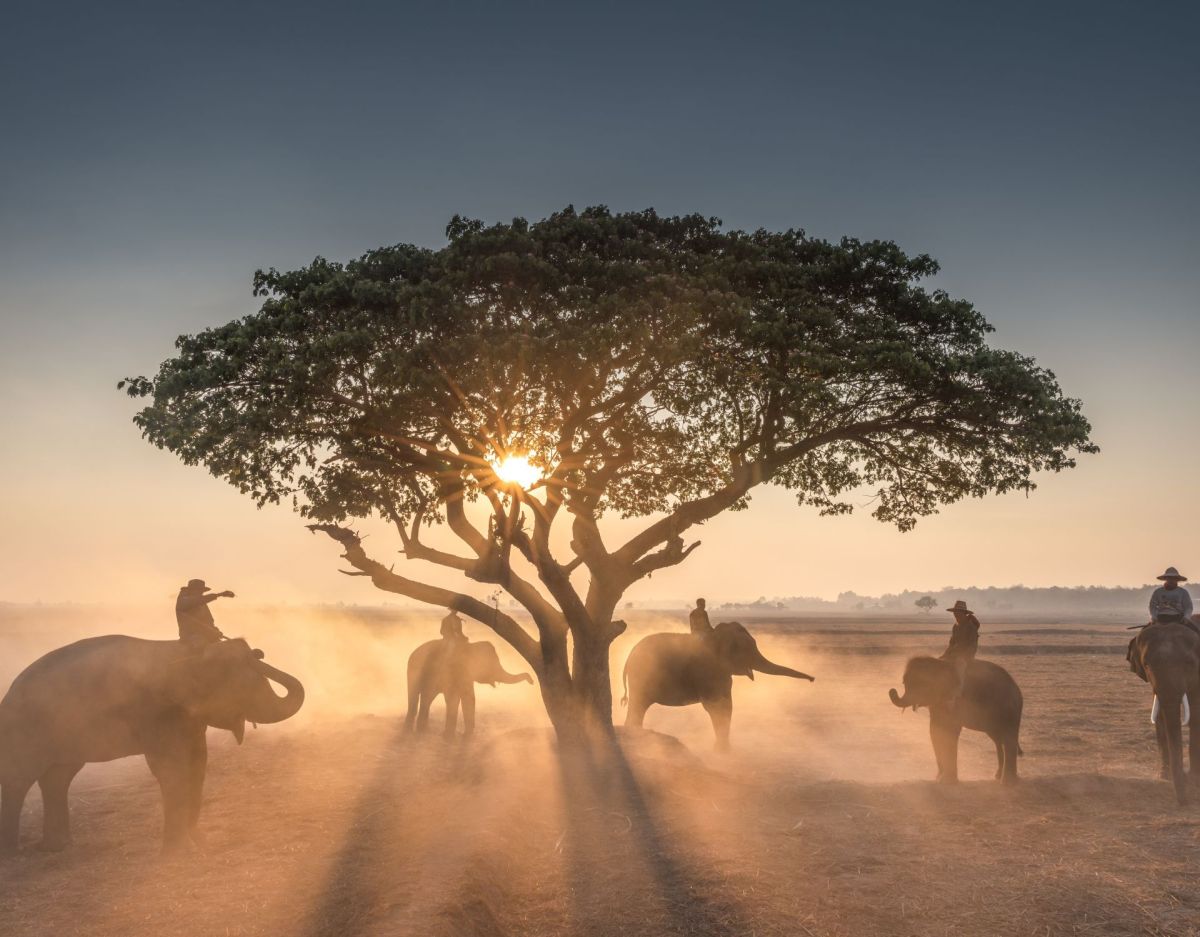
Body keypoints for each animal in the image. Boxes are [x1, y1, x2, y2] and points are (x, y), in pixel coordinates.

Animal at [0, 633, 304, 849]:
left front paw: (201, 842)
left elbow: (198, 763)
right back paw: (12, 850)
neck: (187, 653)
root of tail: (9, 693)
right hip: (25, 730)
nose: (258, 652)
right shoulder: (157, 714)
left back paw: (57, 847)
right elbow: (169, 768)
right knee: (19, 780)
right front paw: (180, 852)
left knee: (58, 777)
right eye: (244, 685)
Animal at [619, 619, 816, 748]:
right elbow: (716, 706)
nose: (812, 679)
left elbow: (727, 704)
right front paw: (721, 751)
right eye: (747, 649)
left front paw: (724, 751)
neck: (716, 635)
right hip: (641, 676)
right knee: (639, 705)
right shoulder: (707, 670)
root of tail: (628, 657)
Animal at [892, 652, 1022, 787]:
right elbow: (935, 730)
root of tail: (1016, 687)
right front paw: (939, 779)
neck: (940, 663)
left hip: (1008, 709)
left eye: (921, 684)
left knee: (1008, 737)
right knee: (998, 739)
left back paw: (1007, 782)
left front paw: (947, 781)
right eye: (904, 683)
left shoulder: (956, 700)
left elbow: (950, 731)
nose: (892, 690)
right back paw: (999, 777)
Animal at [1123, 619, 1200, 806]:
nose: (1183, 802)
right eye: (1146, 664)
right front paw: (1164, 777)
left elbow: (1196, 712)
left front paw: (1194, 779)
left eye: (1189, 662)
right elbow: (1160, 715)